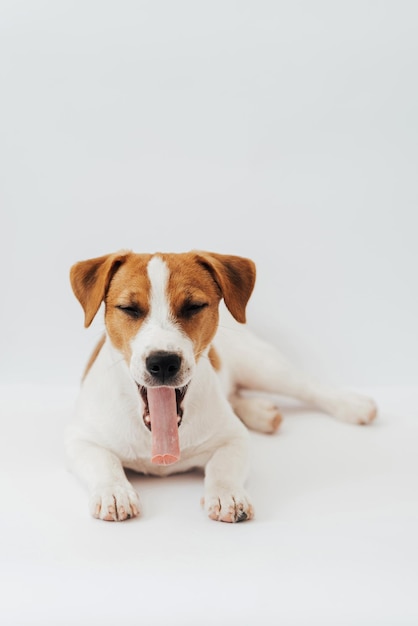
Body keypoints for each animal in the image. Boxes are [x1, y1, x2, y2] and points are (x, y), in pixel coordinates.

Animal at [67, 249, 378, 520]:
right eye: (129, 309)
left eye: (193, 306)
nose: (164, 362)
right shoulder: (81, 440)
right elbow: (104, 462)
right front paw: (114, 492)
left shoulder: (234, 438)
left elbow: (222, 466)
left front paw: (227, 494)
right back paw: (262, 413)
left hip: (264, 365)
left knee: (308, 386)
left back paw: (353, 405)